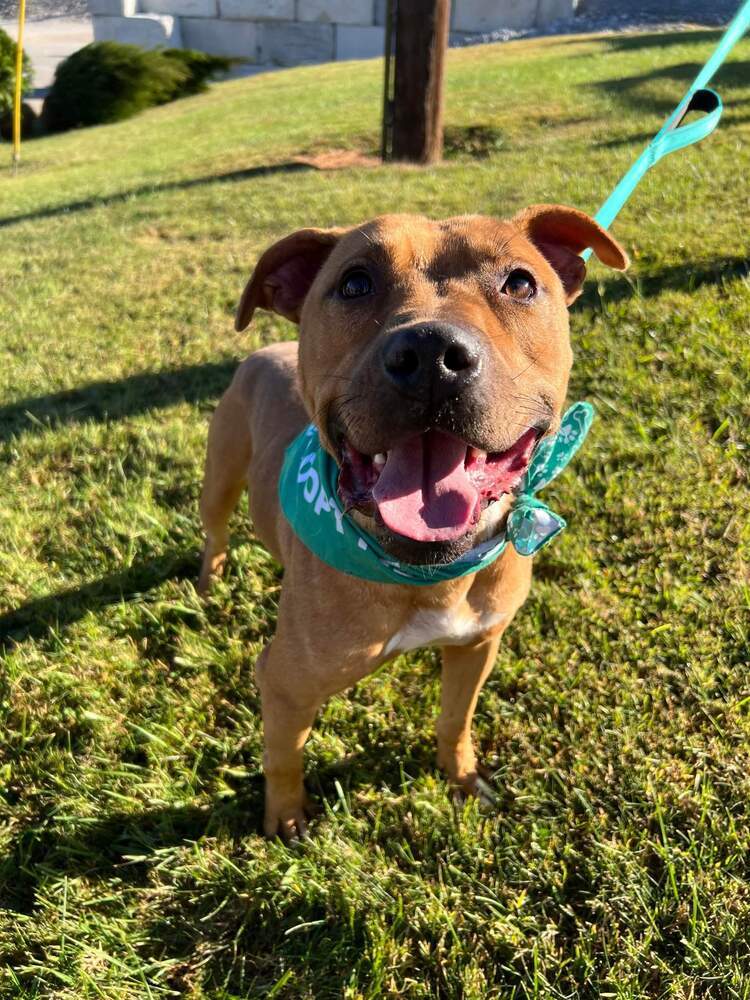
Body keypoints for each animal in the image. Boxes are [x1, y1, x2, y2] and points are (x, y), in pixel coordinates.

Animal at [200, 207, 628, 840]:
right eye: (354, 282)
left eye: (520, 282)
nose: (431, 353)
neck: (426, 572)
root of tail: (265, 349)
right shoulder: (283, 682)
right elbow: (283, 757)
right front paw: (285, 817)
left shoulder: (478, 646)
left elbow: (455, 720)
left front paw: (463, 778)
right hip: (221, 474)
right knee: (215, 530)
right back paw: (210, 579)